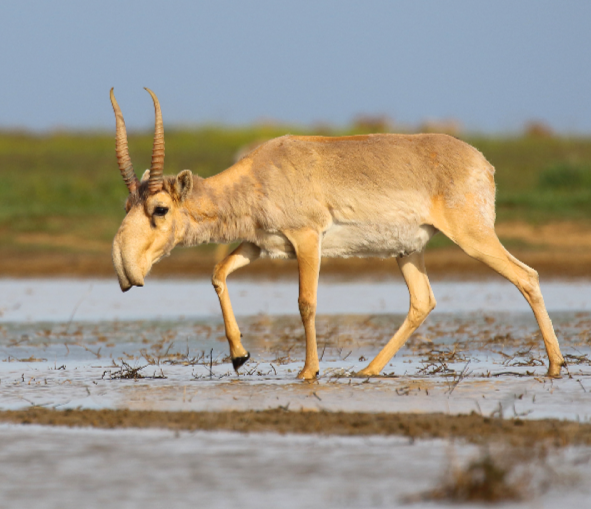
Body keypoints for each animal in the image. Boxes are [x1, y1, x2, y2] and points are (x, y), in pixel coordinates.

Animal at [108, 89, 568, 380]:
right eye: (127, 205)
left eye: (160, 209)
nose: (125, 270)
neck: (259, 173)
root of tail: (482, 163)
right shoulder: (259, 245)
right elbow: (218, 274)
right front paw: (239, 356)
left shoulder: (307, 240)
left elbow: (306, 303)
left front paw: (308, 371)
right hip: (407, 251)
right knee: (423, 301)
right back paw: (368, 370)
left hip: (473, 237)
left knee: (526, 276)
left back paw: (555, 365)